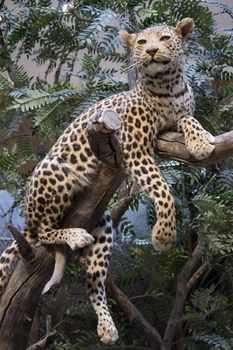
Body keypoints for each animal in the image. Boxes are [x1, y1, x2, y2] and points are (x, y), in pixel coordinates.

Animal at [0, 17, 215, 344]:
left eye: (165, 38)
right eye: (142, 42)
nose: (152, 51)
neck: (169, 86)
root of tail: (25, 217)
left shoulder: (176, 120)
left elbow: (190, 119)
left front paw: (202, 141)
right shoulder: (135, 148)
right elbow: (162, 189)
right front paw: (164, 236)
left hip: (102, 223)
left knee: (94, 284)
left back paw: (107, 327)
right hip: (58, 175)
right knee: (42, 232)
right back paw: (73, 235)